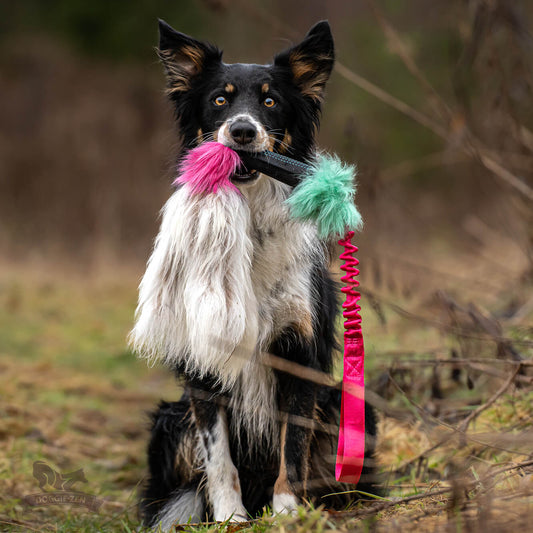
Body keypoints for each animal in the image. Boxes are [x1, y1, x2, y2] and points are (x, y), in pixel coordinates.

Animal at [130, 19, 376, 528]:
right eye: (219, 100)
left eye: (270, 101)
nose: (242, 131)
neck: (252, 224)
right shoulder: (205, 364)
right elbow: (219, 458)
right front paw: (231, 518)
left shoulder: (300, 353)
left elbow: (293, 448)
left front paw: (286, 514)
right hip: (170, 420)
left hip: (347, 408)